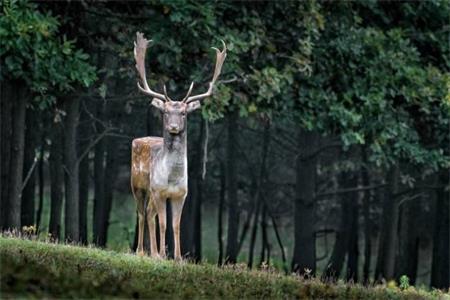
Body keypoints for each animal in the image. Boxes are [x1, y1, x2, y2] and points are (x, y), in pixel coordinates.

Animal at [132, 31, 227, 258]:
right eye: (166, 112)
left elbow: (175, 225)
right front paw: (162, 255)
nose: (174, 127)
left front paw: (177, 257)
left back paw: (153, 252)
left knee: (149, 214)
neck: (172, 178)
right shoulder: (159, 191)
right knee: (141, 213)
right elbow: (164, 223)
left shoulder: (181, 194)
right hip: (137, 185)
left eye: (183, 113)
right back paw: (142, 252)